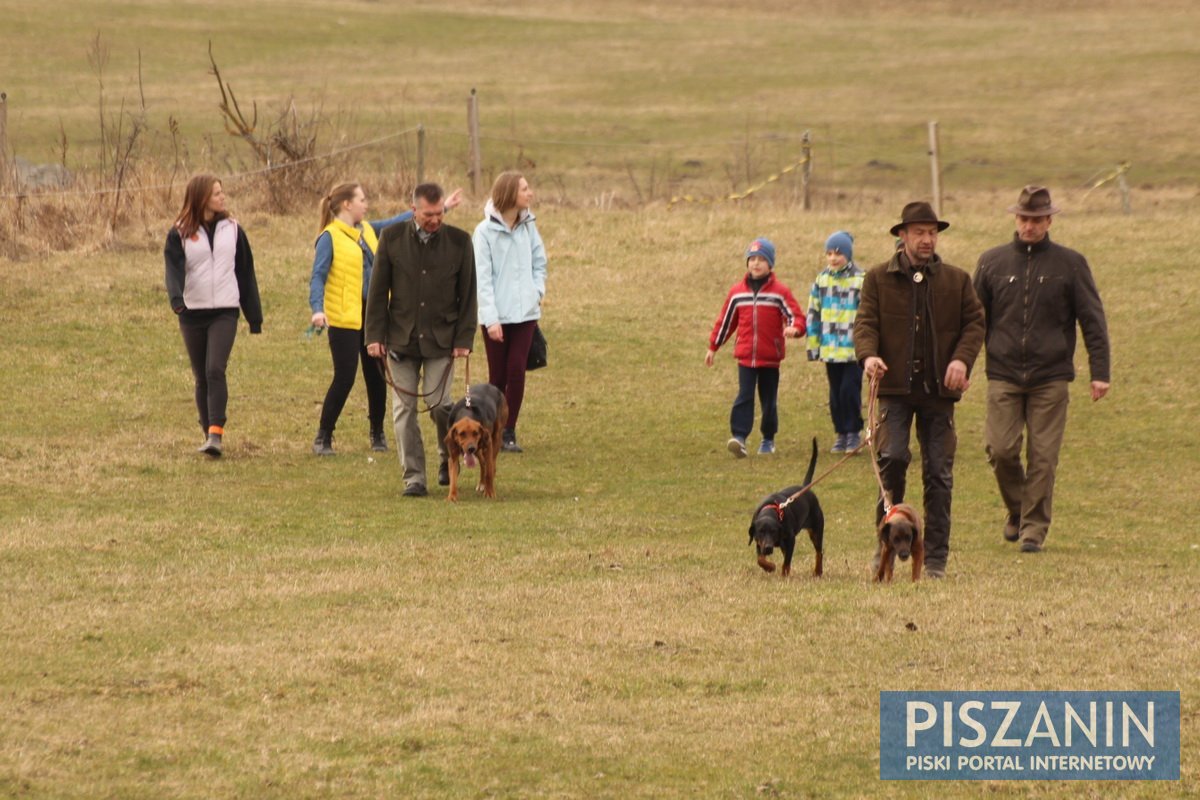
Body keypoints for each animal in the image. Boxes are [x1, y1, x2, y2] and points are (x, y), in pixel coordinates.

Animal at [748, 434, 825, 578]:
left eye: (773, 531)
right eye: (760, 531)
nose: (768, 548)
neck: (771, 509)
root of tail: (805, 487)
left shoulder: (790, 539)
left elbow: (786, 562)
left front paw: (784, 575)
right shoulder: (758, 541)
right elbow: (760, 559)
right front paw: (770, 567)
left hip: (816, 530)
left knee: (819, 551)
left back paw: (818, 571)